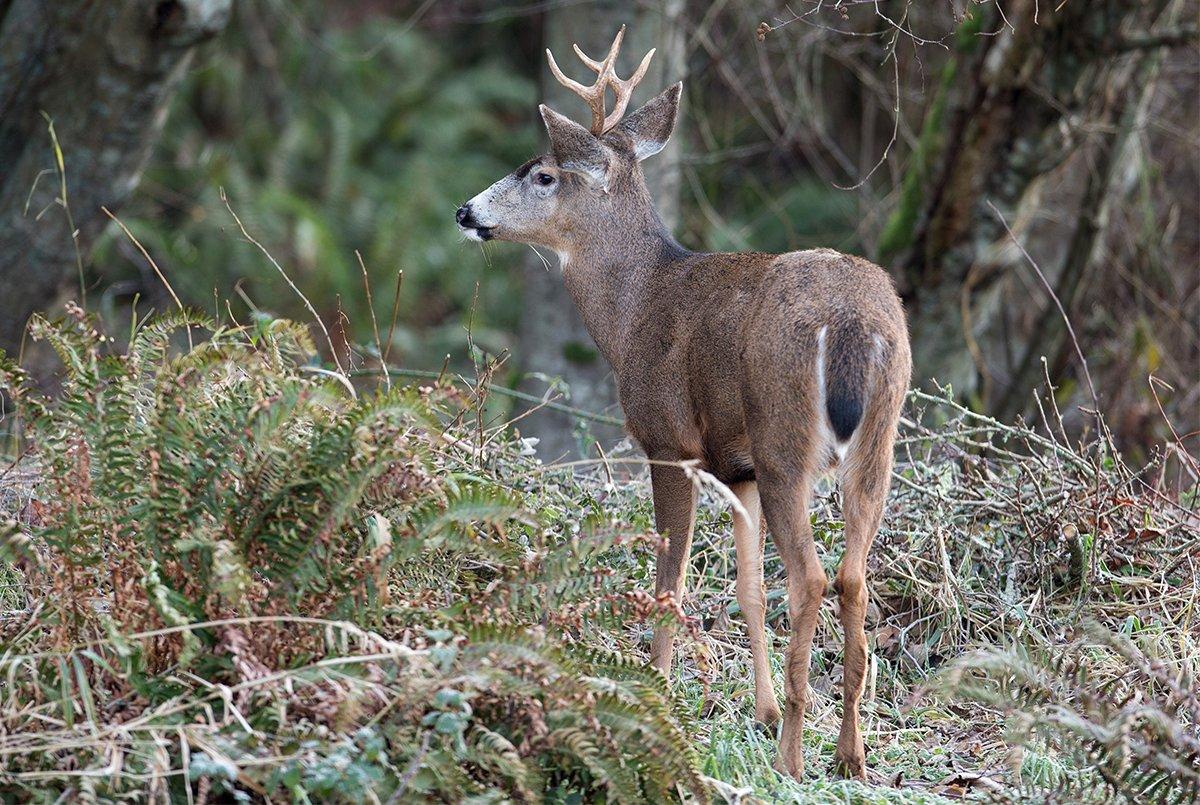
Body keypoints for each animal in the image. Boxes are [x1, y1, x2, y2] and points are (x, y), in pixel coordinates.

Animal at [456, 26, 907, 782]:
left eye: (543, 173)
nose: (466, 212)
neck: (634, 308)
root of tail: (853, 324)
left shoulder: (670, 441)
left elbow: (671, 575)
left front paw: (658, 690)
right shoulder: (739, 467)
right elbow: (747, 588)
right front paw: (756, 709)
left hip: (787, 440)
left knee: (812, 577)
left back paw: (793, 757)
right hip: (876, 444)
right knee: (852, 576)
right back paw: (849, 754)